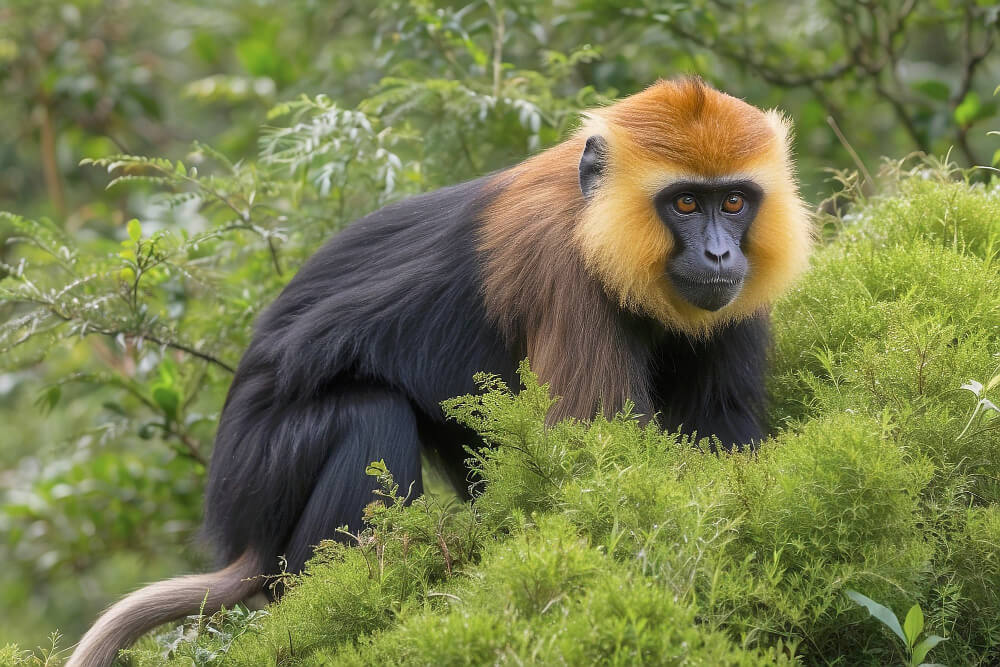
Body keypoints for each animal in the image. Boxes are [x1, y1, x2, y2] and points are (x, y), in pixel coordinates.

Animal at [68, 77, 810, 666]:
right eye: (685, 204)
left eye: (734, 203)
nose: (719, 255)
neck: (600, 221)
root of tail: (239, 531)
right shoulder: (567, 271)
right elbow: (586, 470)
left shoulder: (732, 300)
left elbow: (720, 433)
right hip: (259, 468)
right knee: (369, 415)